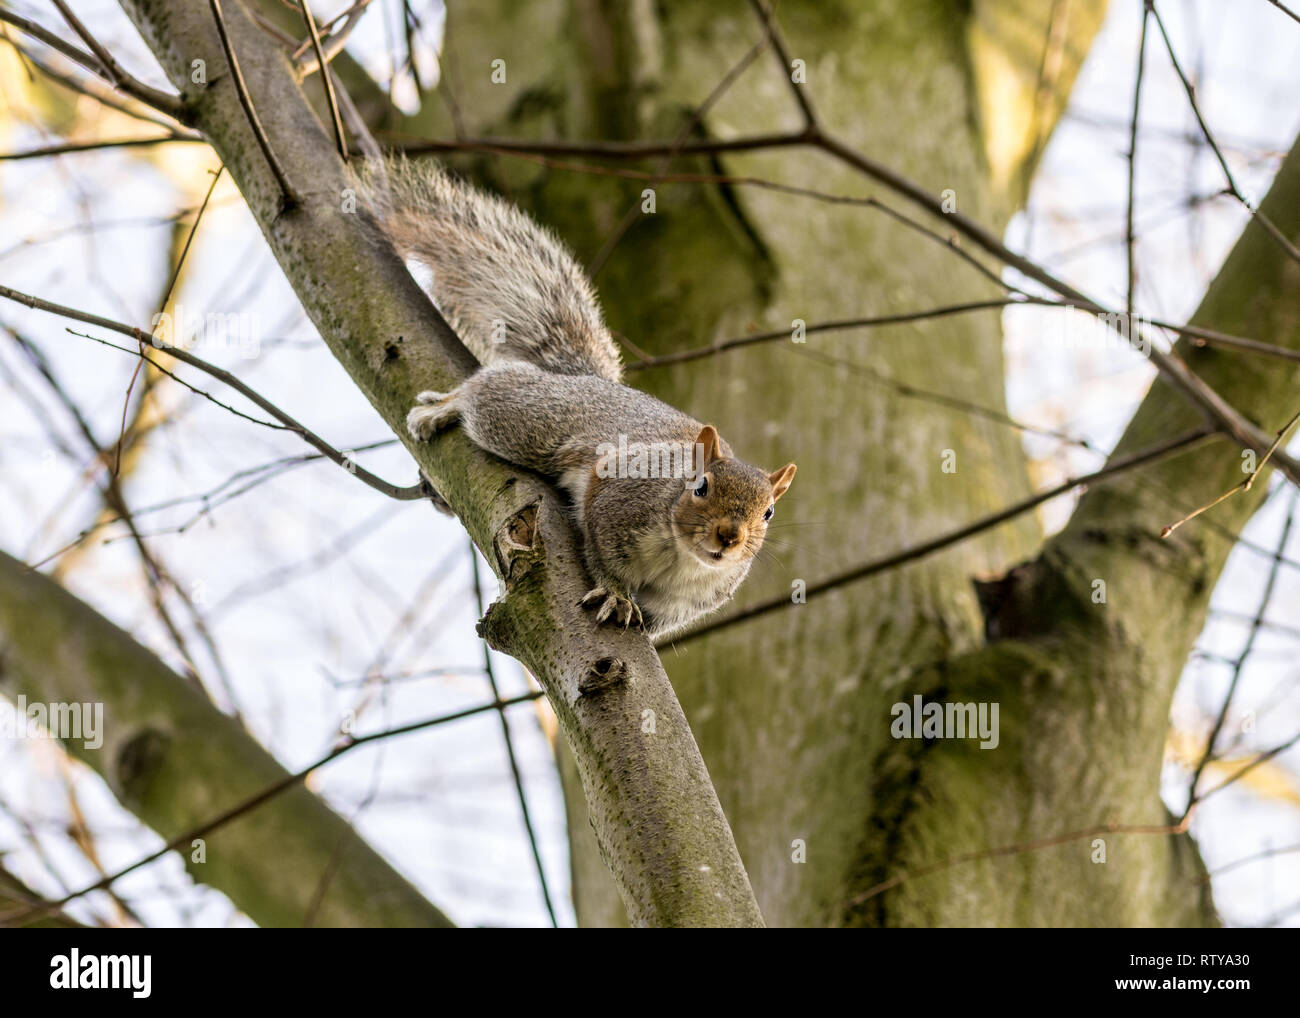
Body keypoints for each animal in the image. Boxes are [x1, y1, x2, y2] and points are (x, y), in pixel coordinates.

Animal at [364, 159, 790, 637]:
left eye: (769, 513)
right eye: (700, 486)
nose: (730, 537)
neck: (682, 556)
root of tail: (583, 379)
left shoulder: (687, 603)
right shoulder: (616, 500)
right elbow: (602, 553)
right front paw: (616, 594)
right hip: (529, 420)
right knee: (488, 392)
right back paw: (442, 409)